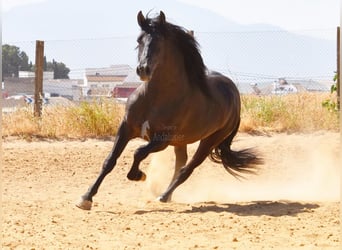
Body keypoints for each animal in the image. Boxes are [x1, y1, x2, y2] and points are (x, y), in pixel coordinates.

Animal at [76, 10, 260, 210]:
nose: (143, 70)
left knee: (187, 168)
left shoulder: (162, 140)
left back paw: (163, 196)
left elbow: (138, 152)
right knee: (181, 163)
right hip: (182, 141)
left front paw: (138, 175)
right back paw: (166, 196)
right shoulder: (125, 128)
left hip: (210, 140)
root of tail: (234, 93)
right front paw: (86, 198)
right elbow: (109, 161)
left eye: (159, 41)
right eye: (139, 40)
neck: (155, 99)